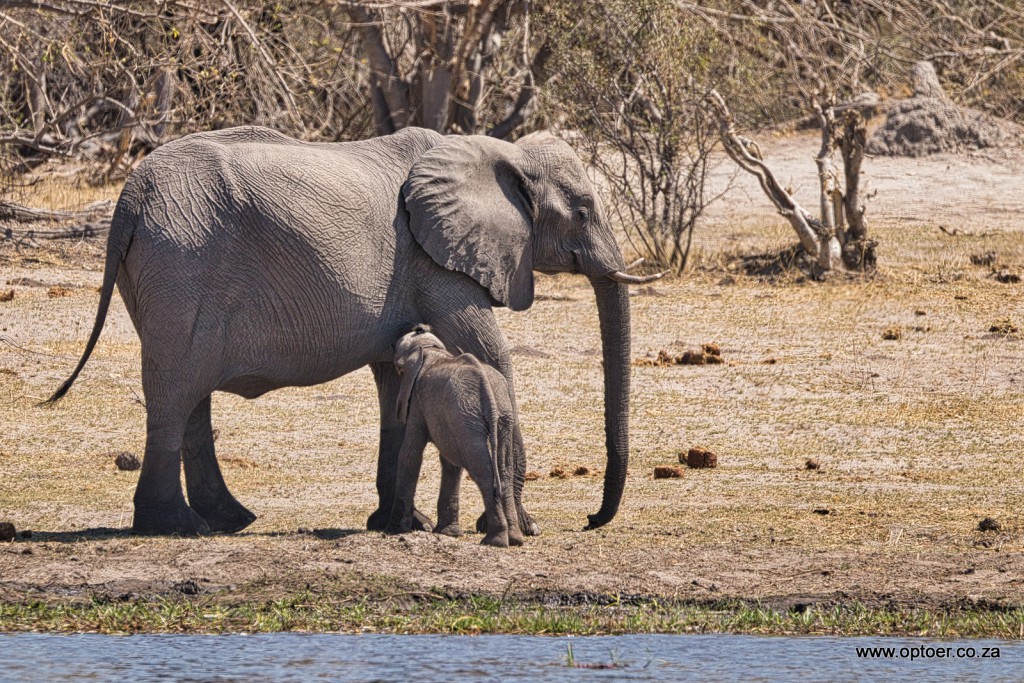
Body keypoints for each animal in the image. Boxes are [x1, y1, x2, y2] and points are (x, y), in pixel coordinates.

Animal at [387, 325, 523, 547]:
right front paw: (447, 533)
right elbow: (450, 462)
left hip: (468, 416)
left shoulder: (417, 401)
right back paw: (515, 539)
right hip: (498, 416)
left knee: (483, 471)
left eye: (399, 371)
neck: (431, 351)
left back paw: (494, 541)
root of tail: (488, 393)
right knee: (504, 470)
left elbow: (410, 454)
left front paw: (394, 530)